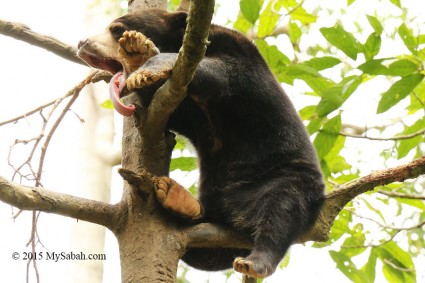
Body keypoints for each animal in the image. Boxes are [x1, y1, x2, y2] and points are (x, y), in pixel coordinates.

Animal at [78, 8, 322, 280]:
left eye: (116, 29)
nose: (82, 42)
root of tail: (233, 215)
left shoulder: (238, 54)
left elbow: (223, 73)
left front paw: (139, 55)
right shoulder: (184, 107)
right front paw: (136, 64)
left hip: (286, 175)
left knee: (282, 208)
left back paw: (255, 261)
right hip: (214, 190)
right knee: (205, 244)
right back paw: (176, 196)